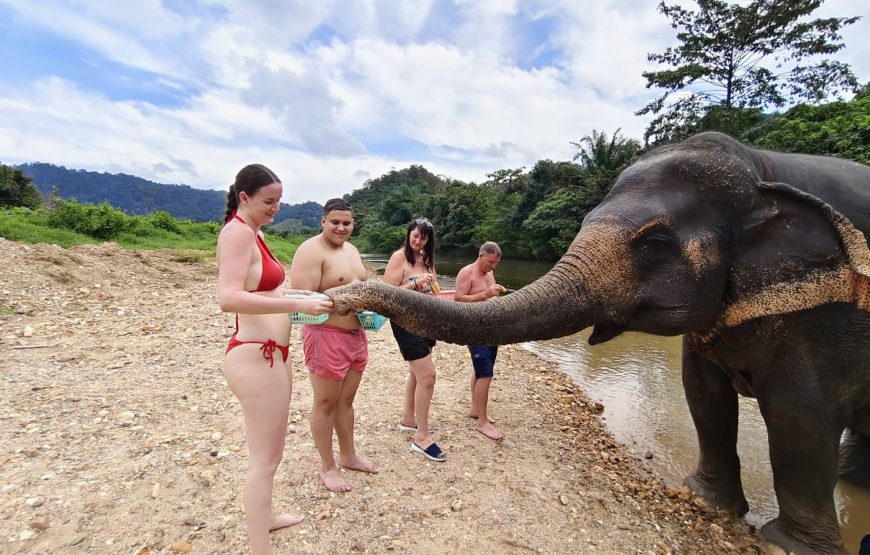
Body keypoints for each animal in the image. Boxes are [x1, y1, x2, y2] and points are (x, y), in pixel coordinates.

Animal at [327, 131, 870, 554]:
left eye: (655, 244)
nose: (339, 296)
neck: (761, 167)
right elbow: (705, 394)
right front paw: (709, 502)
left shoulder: (829, 314)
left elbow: (796, 412)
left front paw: (783, 544)